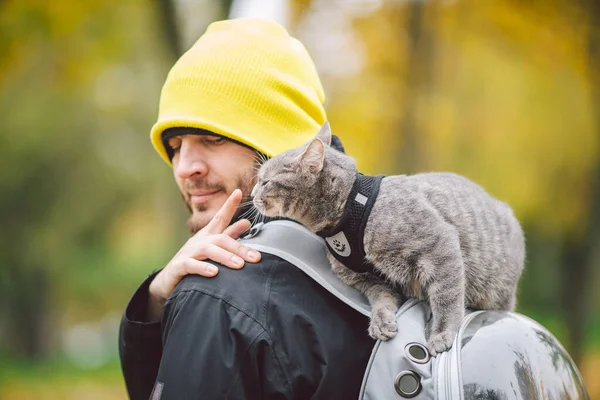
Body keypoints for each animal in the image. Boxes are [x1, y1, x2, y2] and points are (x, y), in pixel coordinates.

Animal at [252, 123, 524, 354]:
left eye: (265, 182)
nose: (253, 192)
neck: (350, 208)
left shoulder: (439, 244)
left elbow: (446, 297)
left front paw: (443, 333)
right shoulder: (367, 278)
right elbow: (381, 299)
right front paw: (381, 321)